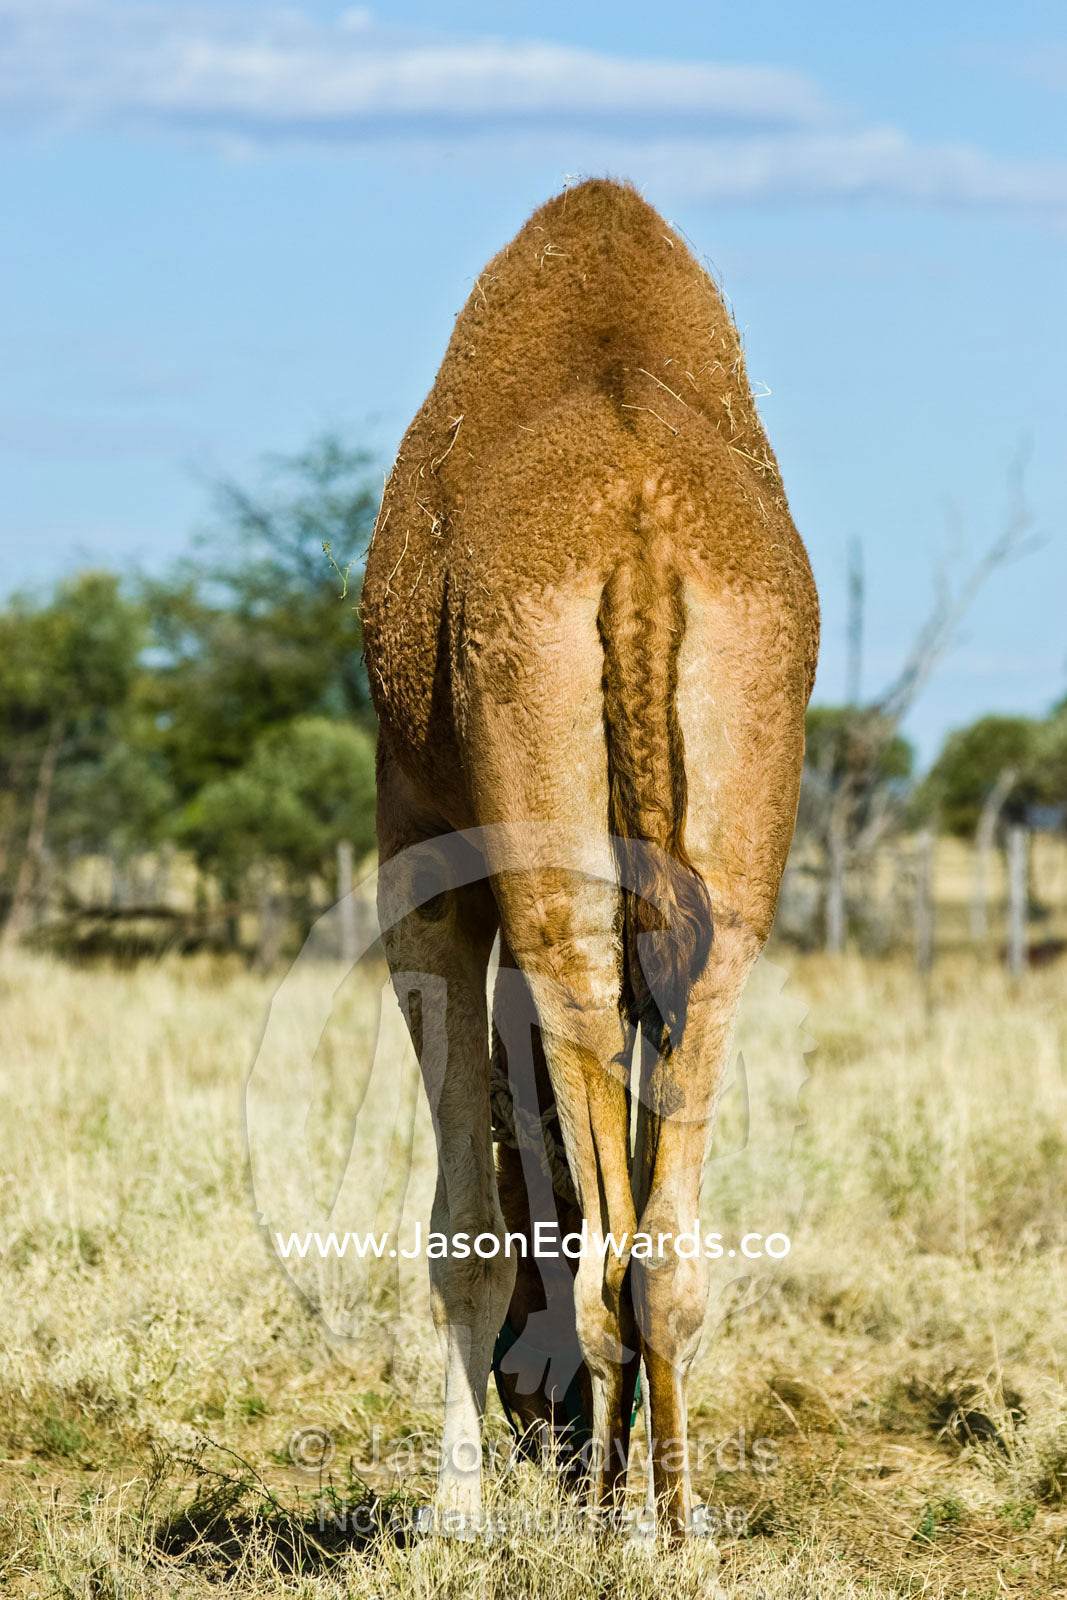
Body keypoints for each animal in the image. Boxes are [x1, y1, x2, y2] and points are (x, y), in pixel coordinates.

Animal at [360, 178, 819, 1536]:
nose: (541, 1423)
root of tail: (640, 525)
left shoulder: (418, 849)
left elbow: (465, 1223)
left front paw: (455, 1519)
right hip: (732, 851)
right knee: (662, 1248)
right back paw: (668, 1530)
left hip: (539, 857)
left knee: (604, 1244)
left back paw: (611, 1521)